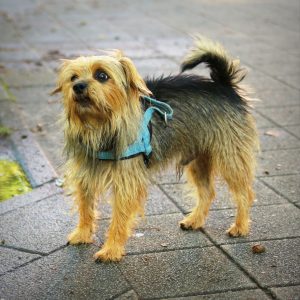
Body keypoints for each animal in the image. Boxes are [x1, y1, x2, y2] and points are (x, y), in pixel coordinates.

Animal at [51, 36, 258, 262]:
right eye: (73, 77)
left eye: (102, 75)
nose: (78, 86)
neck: (100, 126)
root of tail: (223, 85)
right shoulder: (85, 176)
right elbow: (85, 208)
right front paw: (83, 234)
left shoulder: (126, 184)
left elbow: (119, 219)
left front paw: (111, 250)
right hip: (198, 159)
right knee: (208, 192)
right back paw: (194, 220)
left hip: (230, 158)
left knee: (244, 193)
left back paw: (240, 226)